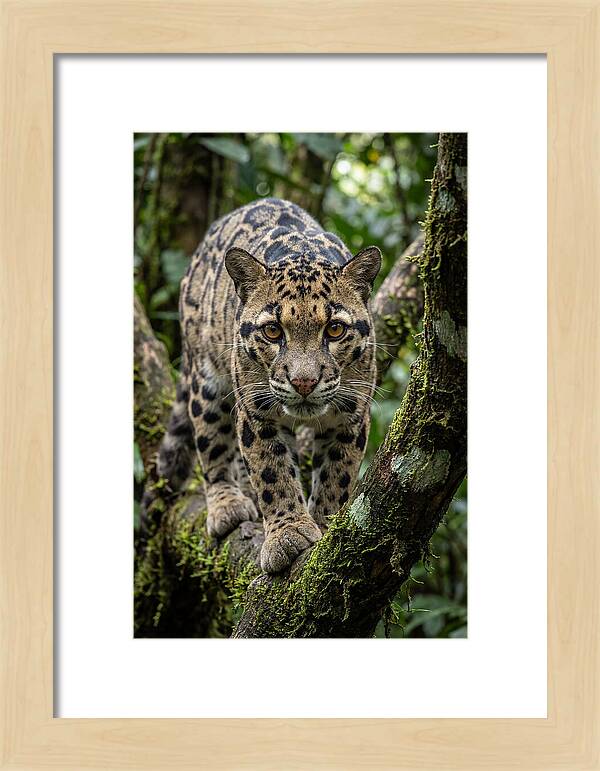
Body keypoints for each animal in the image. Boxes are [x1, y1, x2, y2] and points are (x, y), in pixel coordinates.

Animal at [155, 197, 381, 574]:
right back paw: (228, 504)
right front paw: (288, 534)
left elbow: (337, 475)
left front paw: (325, 525)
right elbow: (272, 472)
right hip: (206, 380)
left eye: (335, 329)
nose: (304, 382)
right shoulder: (257, 410)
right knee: (212, 444)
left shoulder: (351, 413)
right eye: (273, 331)